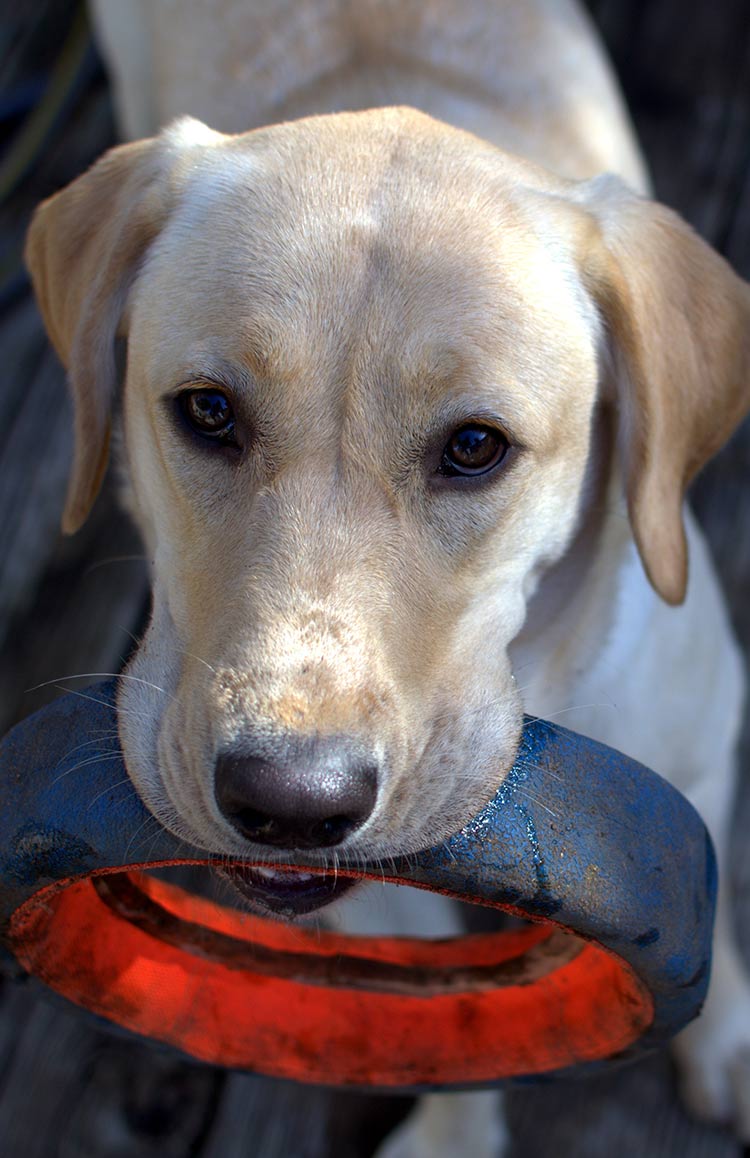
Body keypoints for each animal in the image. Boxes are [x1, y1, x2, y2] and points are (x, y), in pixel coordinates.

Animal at [21, 2, 750, 1158]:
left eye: (475, 447)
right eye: (207, 411)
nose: (289, 802)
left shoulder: (706, 749)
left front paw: (726, 1042)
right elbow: (443, 1021)